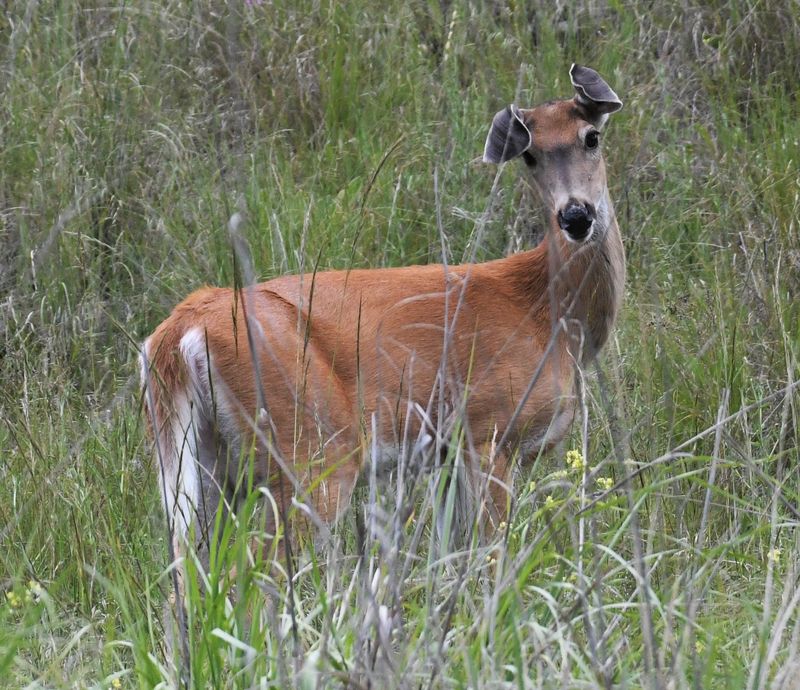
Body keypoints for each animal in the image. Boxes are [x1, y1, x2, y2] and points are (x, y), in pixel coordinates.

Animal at [139, 63, 624, 568]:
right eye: (529, 155)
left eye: (591, 137)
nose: (575, 216)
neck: (549, 314)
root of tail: (179, 331)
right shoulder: (489, 431)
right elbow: (491, 556)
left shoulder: (446, 457)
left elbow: (450, 556)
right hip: (312, 448)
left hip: (204, 459)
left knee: (189, 564)